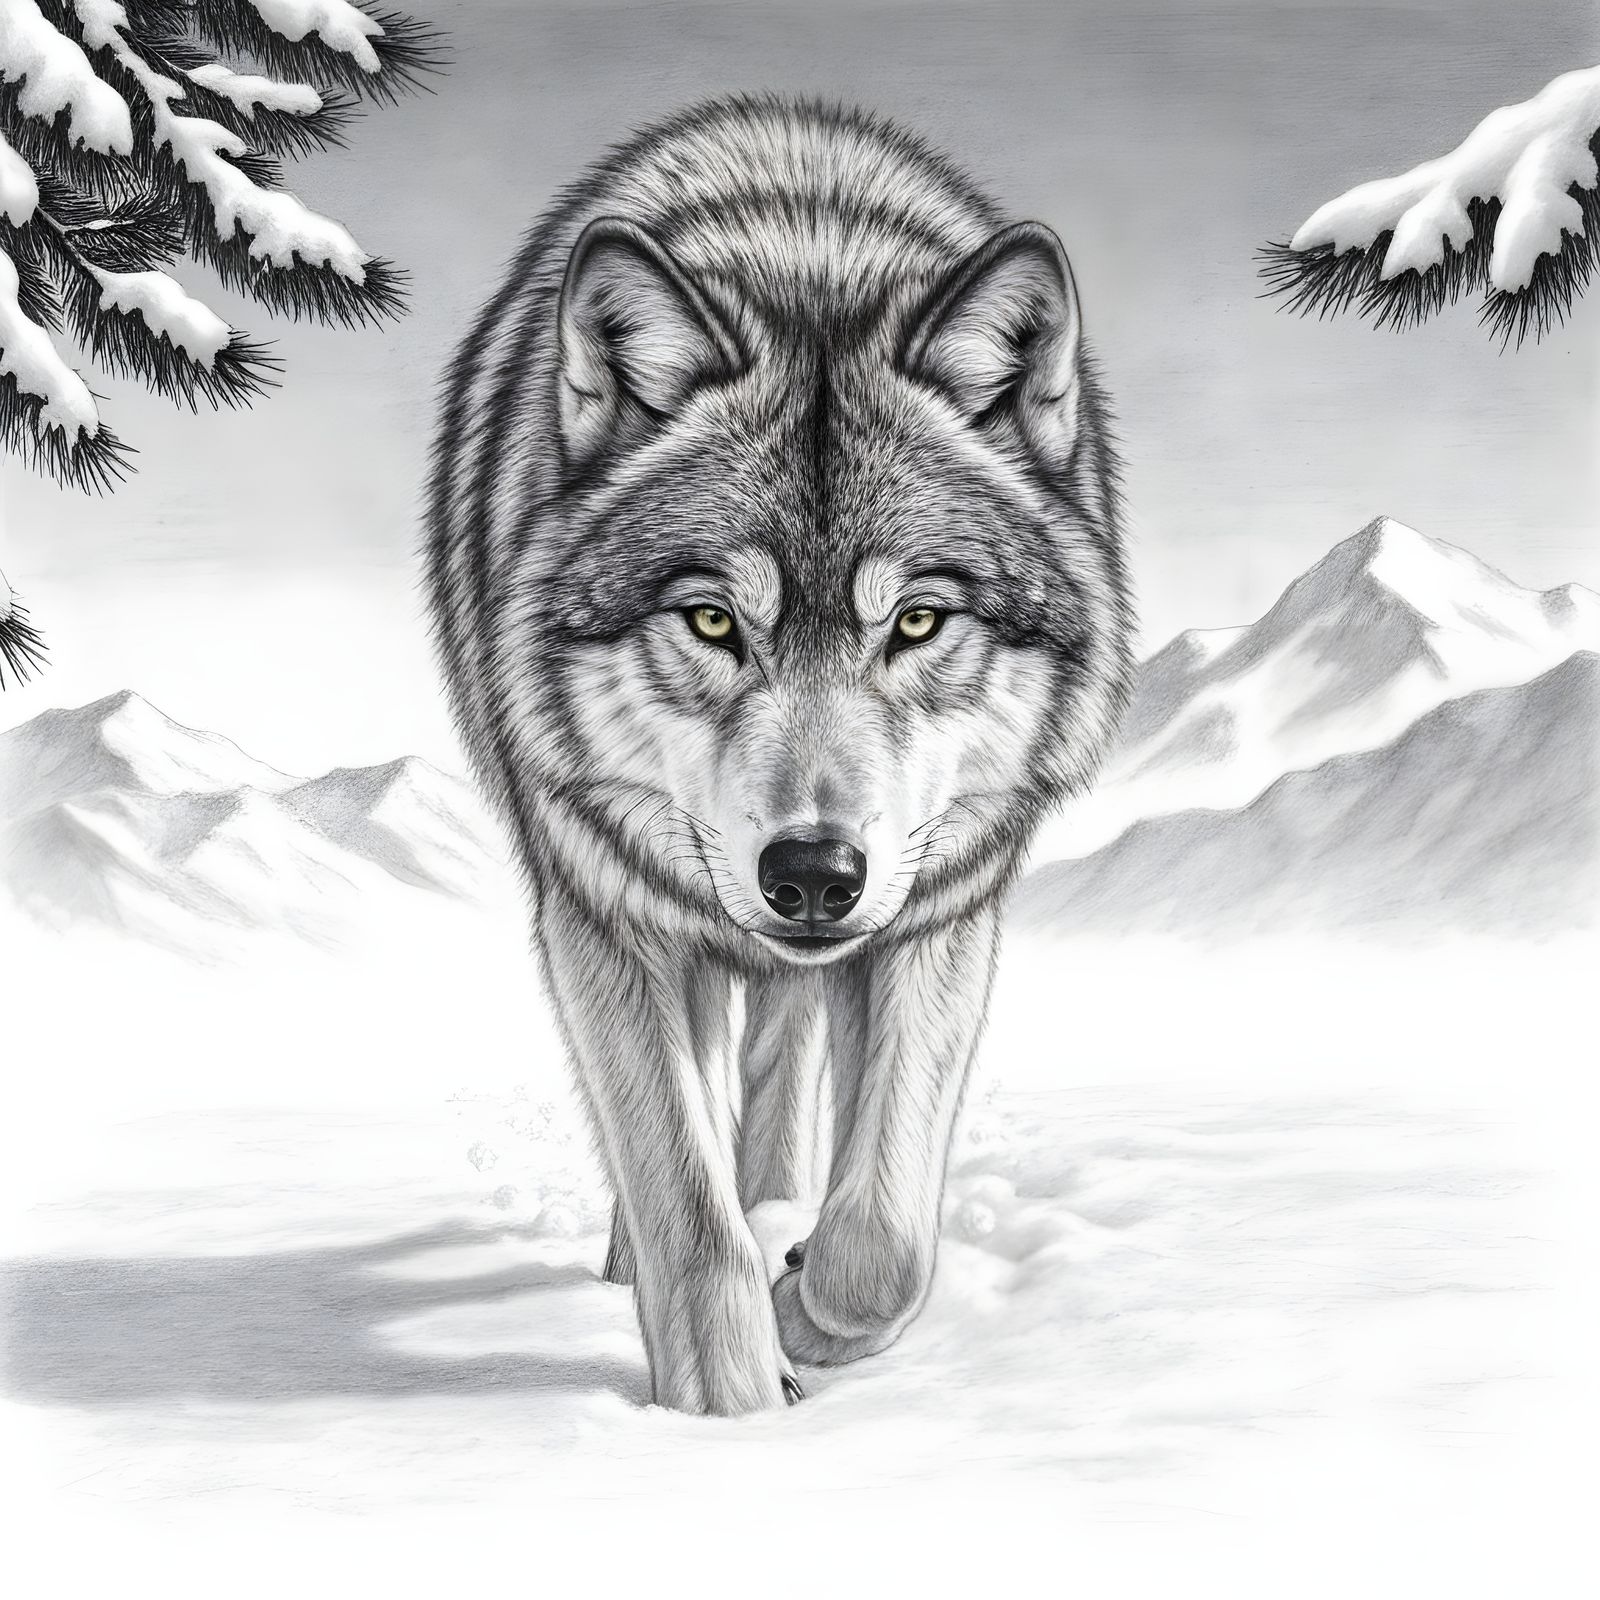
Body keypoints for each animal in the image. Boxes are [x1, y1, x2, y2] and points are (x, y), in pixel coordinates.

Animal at [424, 95, 1133, 1416]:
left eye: (916, 621)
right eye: (712, 621)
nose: (810, 875)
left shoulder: (940, 912)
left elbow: (888, 1242)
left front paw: (805, 1296)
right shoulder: (601, 912)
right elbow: (685, 1207)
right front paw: (728, 1411)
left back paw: (779, 1217)